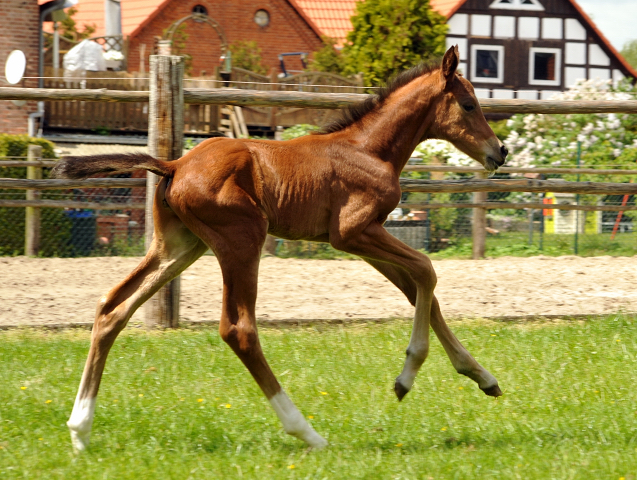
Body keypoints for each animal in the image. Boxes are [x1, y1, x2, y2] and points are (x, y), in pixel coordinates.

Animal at [51, 47, 506, 452]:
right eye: (469, 104)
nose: (499, 151)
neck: (368, 149)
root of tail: (174, 165)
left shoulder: (365, 238)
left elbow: (419, 293)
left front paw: (481, 376)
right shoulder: (352, 232)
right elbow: (427, 271)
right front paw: (407, 377)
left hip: (180, 246)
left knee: (113, 308)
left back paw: (79, 429)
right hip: (242, 239)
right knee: (239, 330)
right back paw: (307, 432)